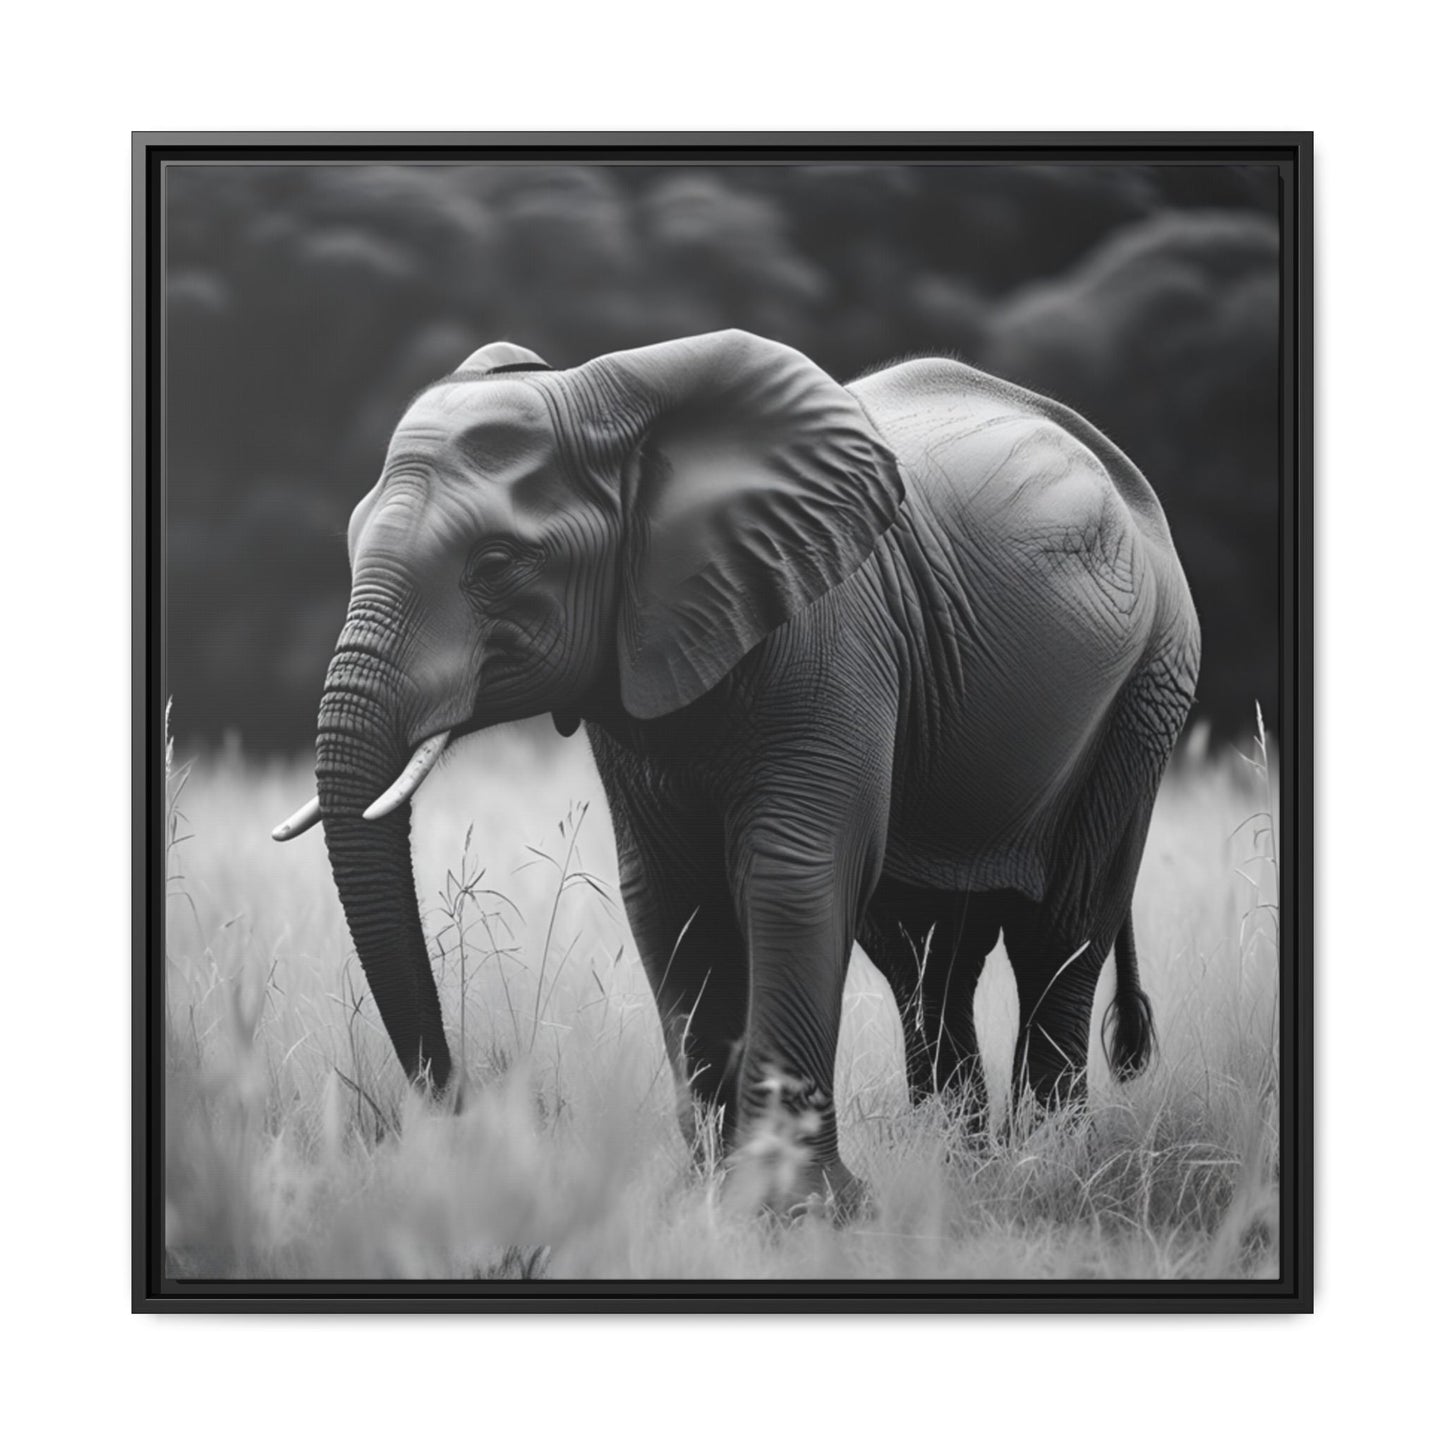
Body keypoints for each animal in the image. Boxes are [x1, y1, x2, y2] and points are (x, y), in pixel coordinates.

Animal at [273, 329, 1200, 1214]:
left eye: (496, 564)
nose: (470, 1116)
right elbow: (667, 893)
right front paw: (709, 1197)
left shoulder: (830, 633)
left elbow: (792, 873)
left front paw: (795, 1211)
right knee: (923, 954)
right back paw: (959, 1165)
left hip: (1148, 689)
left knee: (1061, 929)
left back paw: (1045, 1166)